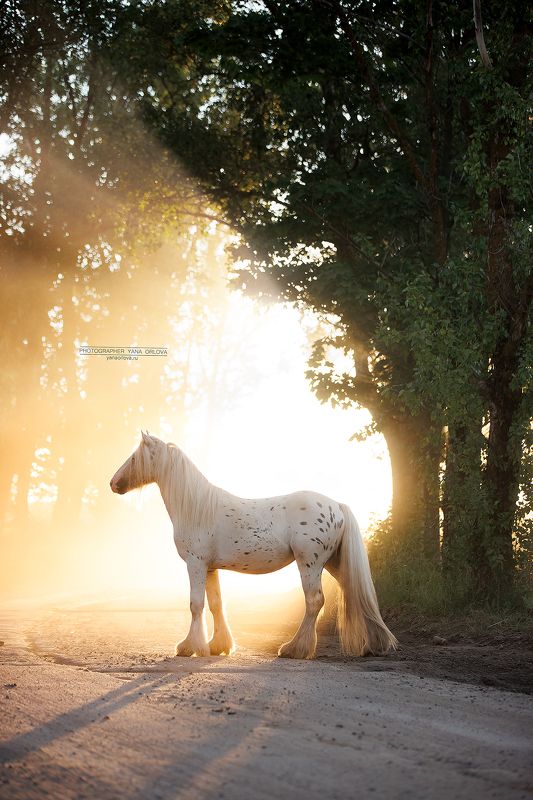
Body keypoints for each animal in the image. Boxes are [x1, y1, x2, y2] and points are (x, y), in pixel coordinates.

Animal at [110, 431, 397, 659]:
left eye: (134, 458)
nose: (113, 483)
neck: (198, 508)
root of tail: (336, 505)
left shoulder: (195, 564)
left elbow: (196, 604)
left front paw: (190, 647)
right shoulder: (210, 568)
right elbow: (215, 604)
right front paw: (218, 646)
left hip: (310, 563)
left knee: (314, 601)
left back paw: (294, 649)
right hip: (334, 563)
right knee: (355, 594)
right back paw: (374, 645)